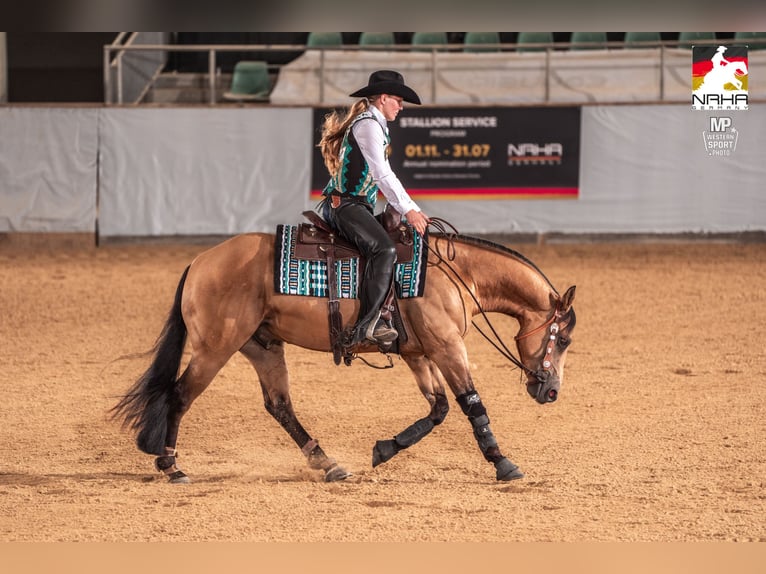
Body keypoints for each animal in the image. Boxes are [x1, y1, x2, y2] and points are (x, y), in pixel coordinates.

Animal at [112, 222, 576, 486]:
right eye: (565, 340)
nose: (552, 391)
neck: (456, 275)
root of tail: (199, 261)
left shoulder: (420, 353)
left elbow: (439, 409)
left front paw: (385, 449)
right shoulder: (447, 348)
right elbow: (471, 405)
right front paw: (503, 463)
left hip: (262, 346)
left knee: (279, 405)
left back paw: (328, 463)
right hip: (214, 347)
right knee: (179, 396)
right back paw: (172, 467)